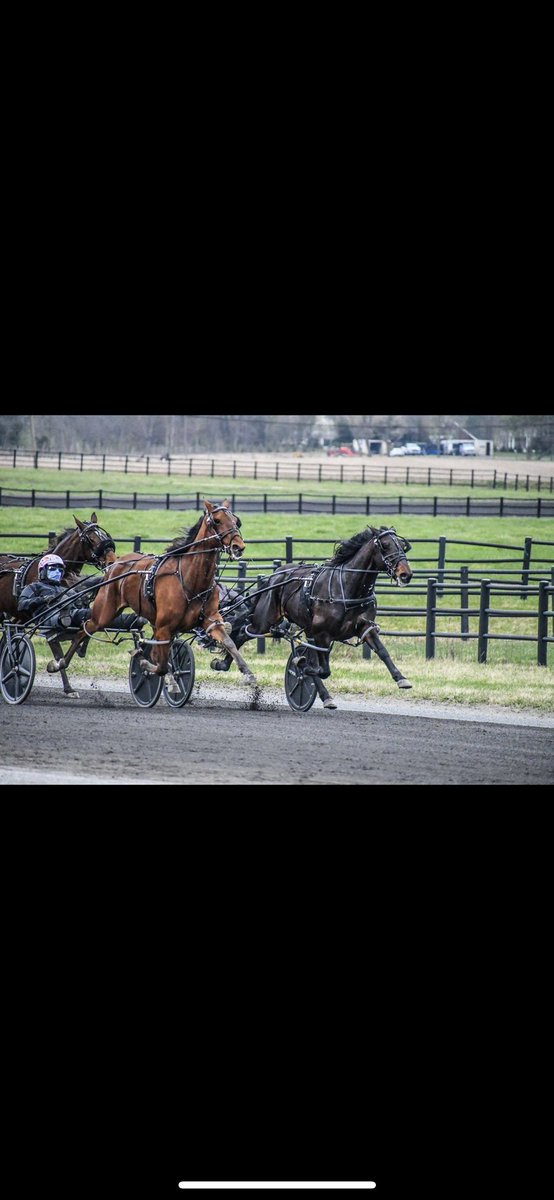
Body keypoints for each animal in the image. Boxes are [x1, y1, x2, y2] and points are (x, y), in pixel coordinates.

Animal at [53, 496, 257, 691]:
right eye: (217, 520)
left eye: (236, 521)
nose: (238, 546)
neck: (190, 579)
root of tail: (116, 563)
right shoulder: (164, 627)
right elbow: (160, 665)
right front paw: (145, 664)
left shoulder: (210, 620)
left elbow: (229, 642)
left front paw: (248, 674)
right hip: (104, 613)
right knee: (84, 629)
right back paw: (59, 663)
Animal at [209, 523, 412, 705]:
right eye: (385, 545)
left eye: (403, 546)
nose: (406, 574)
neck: (346, 588)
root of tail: (275, 574)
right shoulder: (320, 633)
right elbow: (321, 669)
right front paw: (301, 664)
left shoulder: (365, 627)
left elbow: (382, 651)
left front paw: (401, 678)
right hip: (265, 621)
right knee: (242, 634)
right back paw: (225, 665)